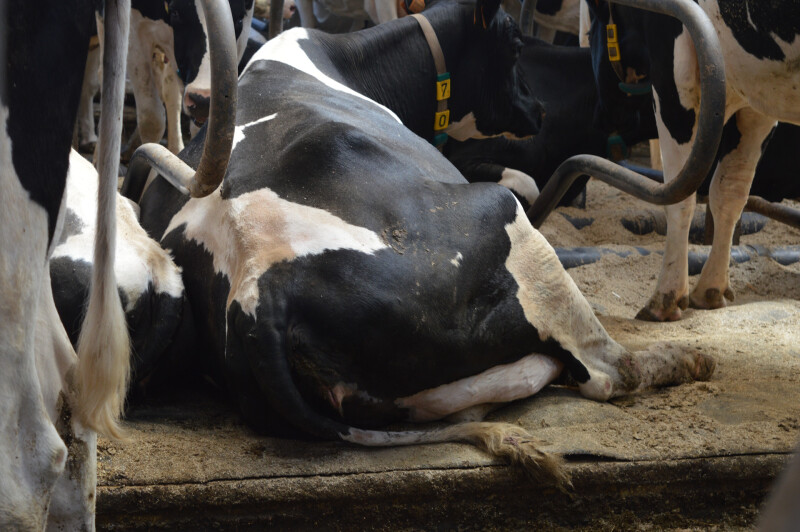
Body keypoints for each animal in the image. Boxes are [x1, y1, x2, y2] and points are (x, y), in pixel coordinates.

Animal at [585, 0, 800, 321]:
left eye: (590, 28)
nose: (601, 116)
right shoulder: (757, 103)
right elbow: (730, 191)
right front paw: (711, 289)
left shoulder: (672, 75)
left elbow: (678, 192)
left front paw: (666, 298)